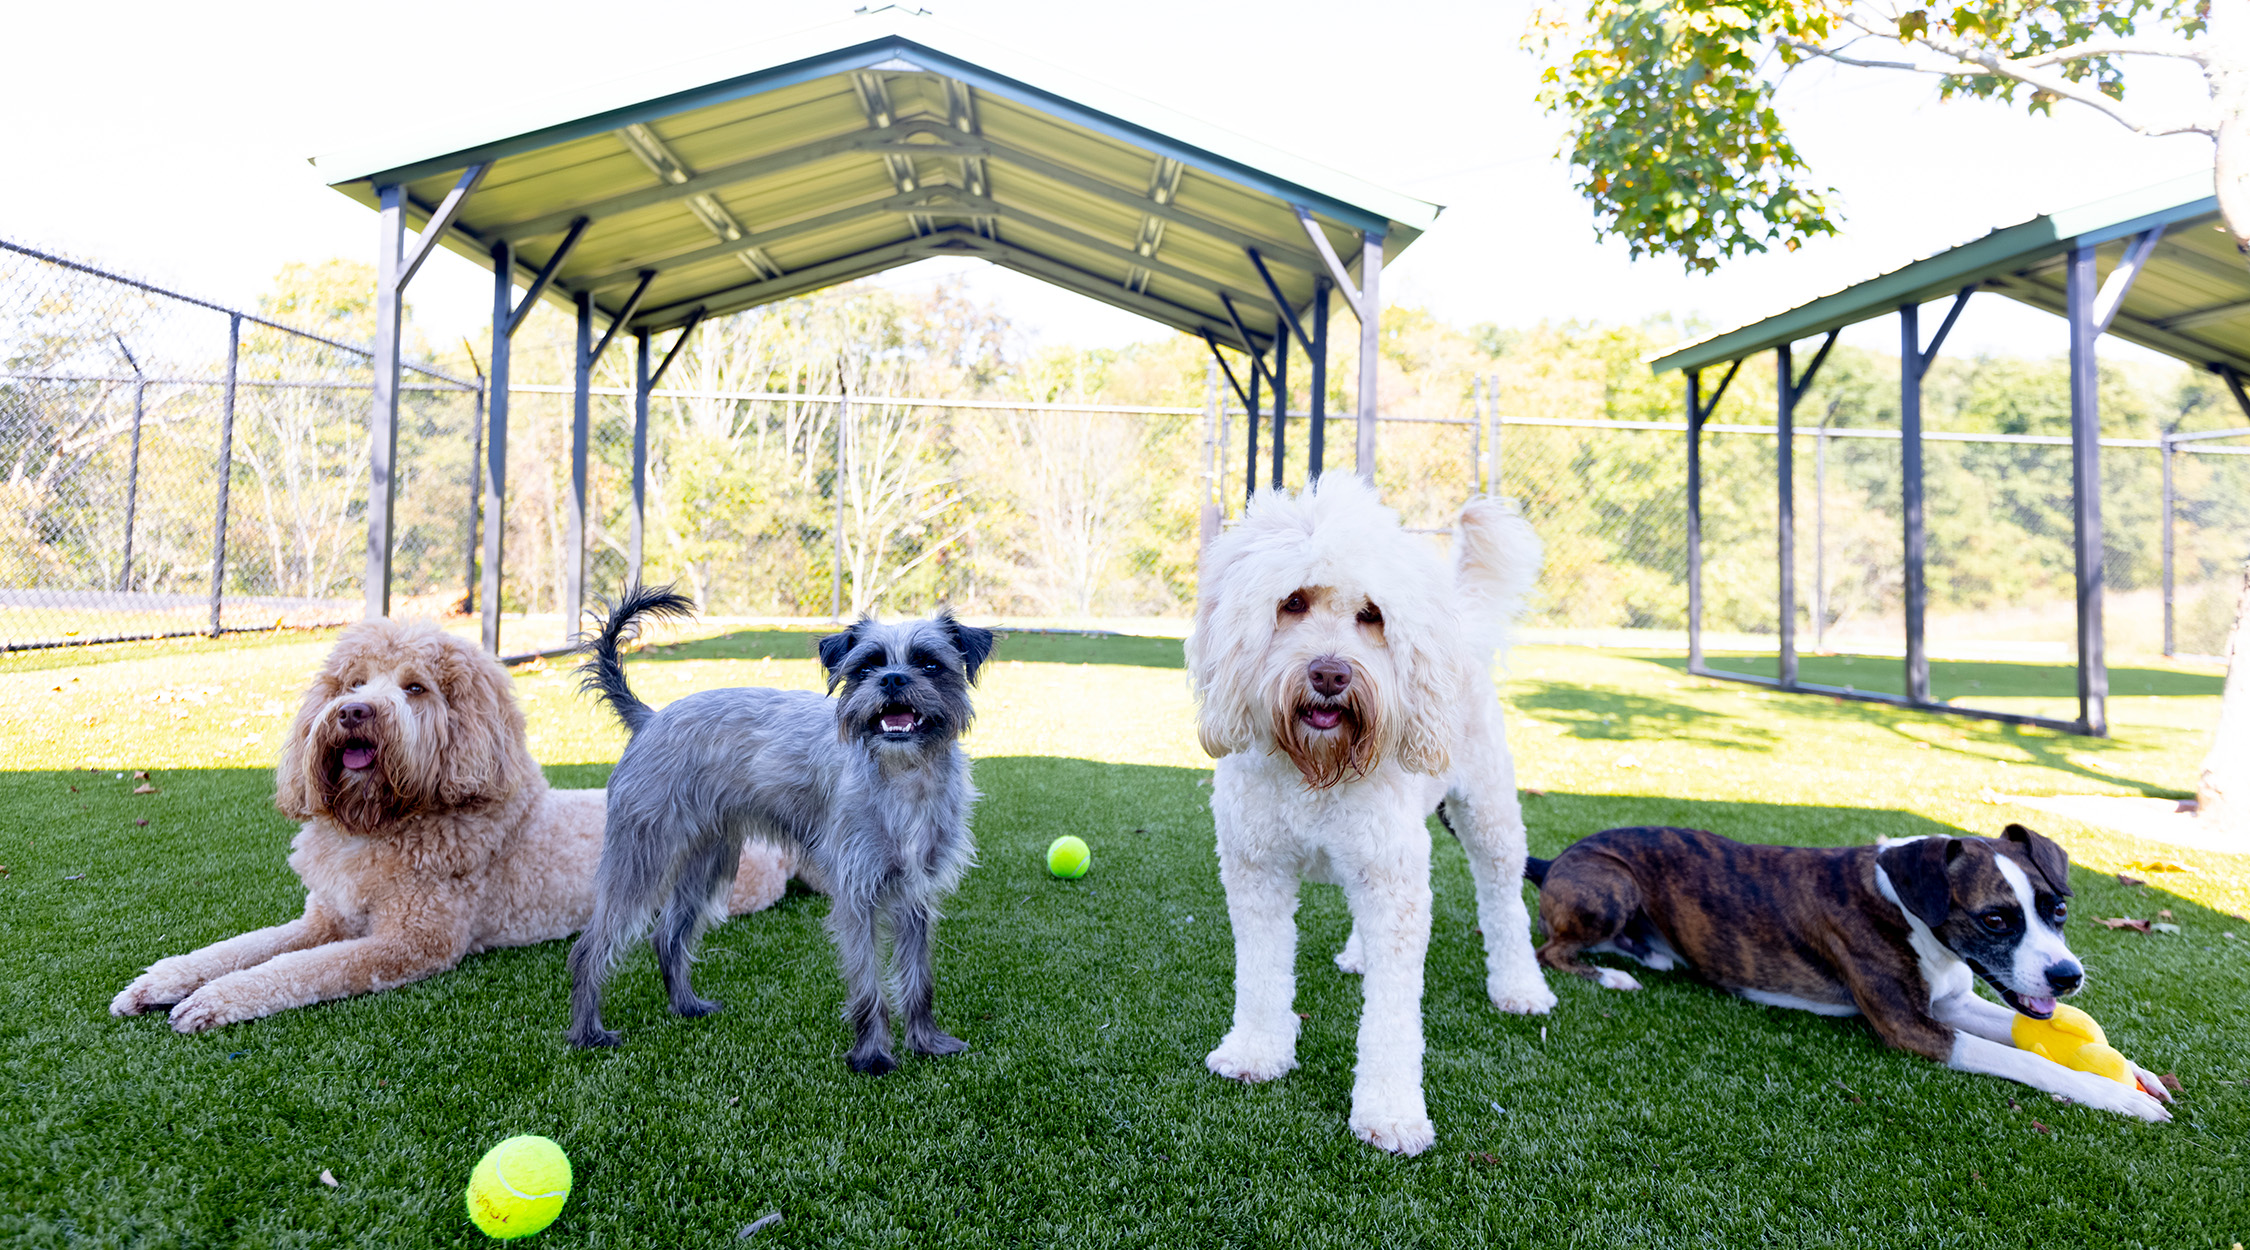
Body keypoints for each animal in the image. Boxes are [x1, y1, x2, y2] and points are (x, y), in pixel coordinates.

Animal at [116, 616, 801, 1034]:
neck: (388, 821)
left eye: (415, 688)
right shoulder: (326, 918)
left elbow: (297, 971)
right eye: (352, 682)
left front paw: (212, 1001)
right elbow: (239, 949)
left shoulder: (413, 941)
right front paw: (158, 983)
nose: (353, 712)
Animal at [567, 584, 990, 1074]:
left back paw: (686, 1006)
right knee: (589, 947)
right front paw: (872, 1056)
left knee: (668, 935)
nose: (892, 680)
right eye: (867, 667)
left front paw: (926, 1042)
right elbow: (868, 984)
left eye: (929, 664)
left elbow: (919, 979)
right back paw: (587, 1033)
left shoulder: (915, 897)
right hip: (641, 860)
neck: (904, 776)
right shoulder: (856, 897)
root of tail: (650, 718)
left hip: (708, 864)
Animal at [1188, 474, 1557, 1160]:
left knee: (1503, 900)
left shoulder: (1394, 885)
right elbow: (1260, 973)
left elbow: (1392, 1016)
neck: (1316, 769)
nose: (1330, 674)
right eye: (1293, 602)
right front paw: (1255, 1052)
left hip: (1487, 812)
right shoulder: (1257, 870)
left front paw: (1390, 1113)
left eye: (1371, 615)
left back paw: (1520, 987)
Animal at [1530, 818, 2178, 1124]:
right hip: (1611, 884)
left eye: (2058, 909)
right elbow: (2027, 1059)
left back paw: (1651, 953)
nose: (2068, 976)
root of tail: (1555, 858)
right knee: (1551, 952)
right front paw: (2114, 1095)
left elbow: (2026, 1036)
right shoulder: (1913, 1029)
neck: (1903, 904)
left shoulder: (1950, 1003)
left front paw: (2136, 1072)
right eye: (1995, 919)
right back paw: (1613, 976)